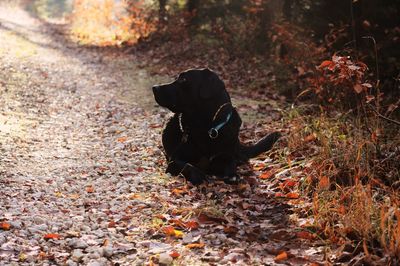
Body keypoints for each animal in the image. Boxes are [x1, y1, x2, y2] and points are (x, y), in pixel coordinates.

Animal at [152, 68, 280, 184]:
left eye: (183, 79)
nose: (154, 87)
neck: (206, 126)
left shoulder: (226, 155)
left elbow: (231, 163)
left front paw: (233, 175)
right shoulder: (174, 160)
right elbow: (187, 165)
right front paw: (198, 174)